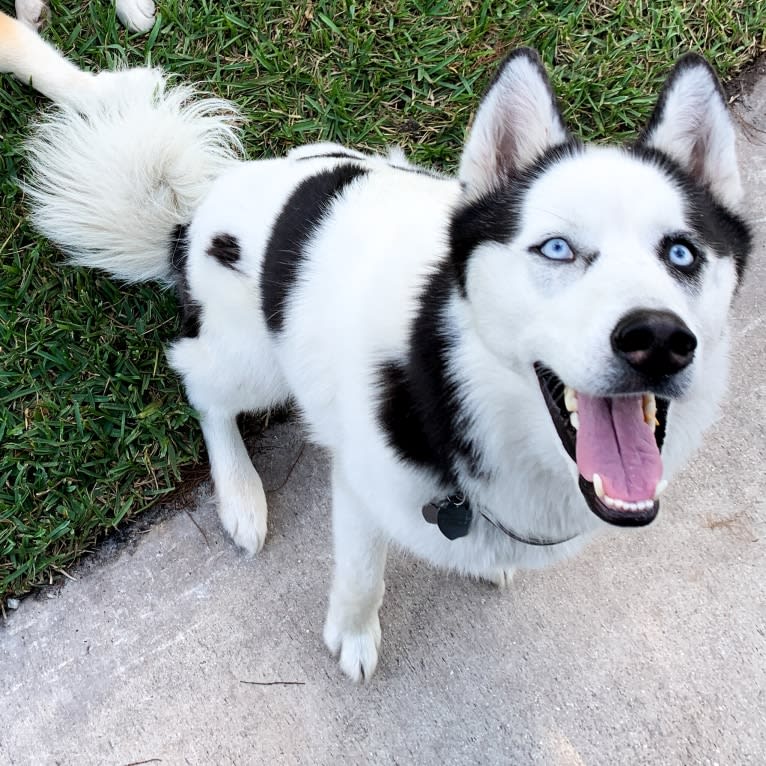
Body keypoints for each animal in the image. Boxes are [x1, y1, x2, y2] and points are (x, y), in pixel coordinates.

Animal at [3, 21, 752, 684]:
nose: (658, 341)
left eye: (682, 253)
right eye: (557, 249)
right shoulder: (362, 488)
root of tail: (191, 221)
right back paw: (240, 492)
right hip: (252, 358)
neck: (457, 382)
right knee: (201, 385)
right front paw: (354, 636)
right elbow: (364, 575)